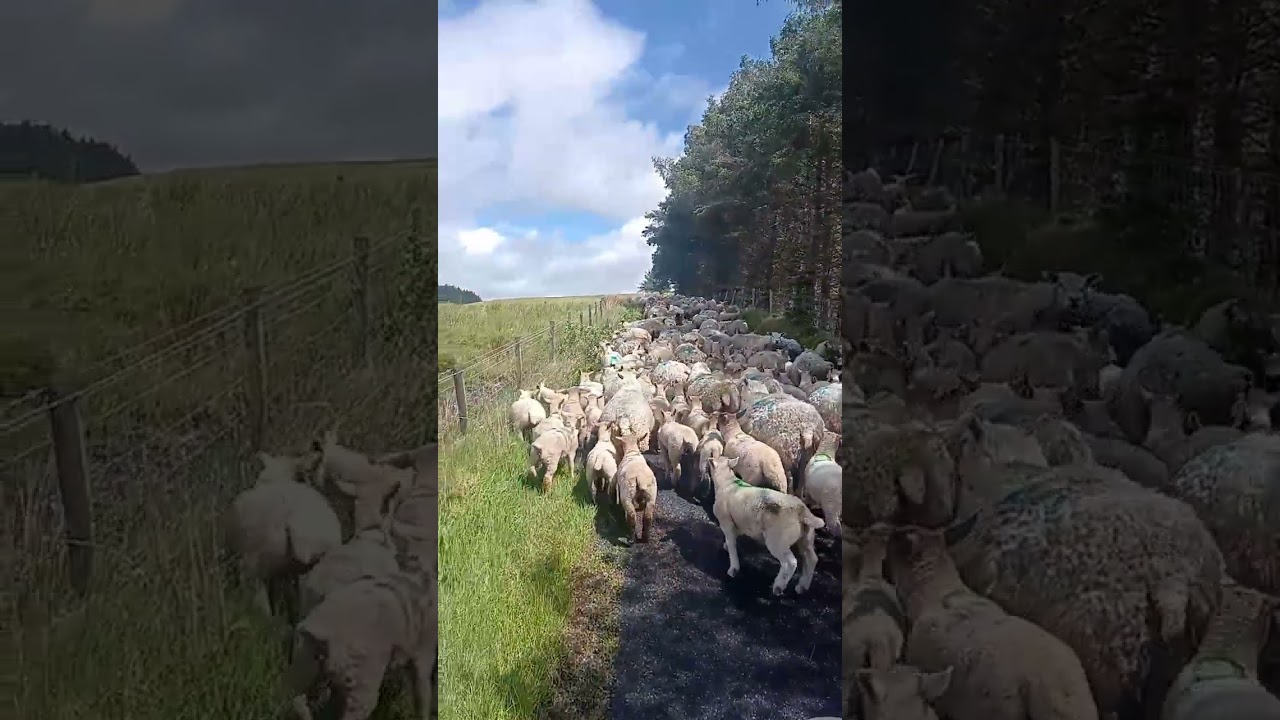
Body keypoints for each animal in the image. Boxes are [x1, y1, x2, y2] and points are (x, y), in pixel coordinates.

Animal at [706, 455, 823, 595]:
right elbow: (731, 540)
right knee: (811, 558)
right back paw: (802, 586)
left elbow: (732, 543)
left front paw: (733, 568)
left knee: (790, 562)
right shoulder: (738, 523)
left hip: (777, 539)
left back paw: (779, 586)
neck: (727, 483)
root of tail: (801, 510)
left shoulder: (726, 522)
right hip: (806, 537)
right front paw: (725, 546)